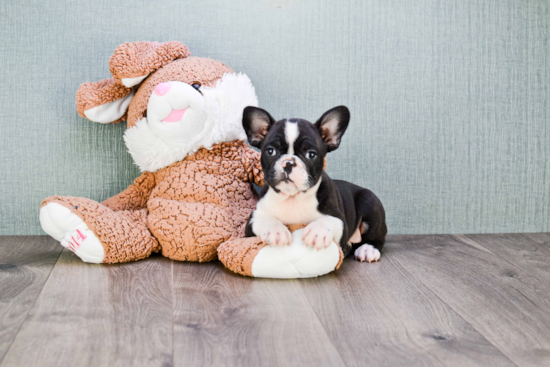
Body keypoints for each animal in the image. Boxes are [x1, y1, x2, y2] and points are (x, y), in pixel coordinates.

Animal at [244, 105, 390, 264]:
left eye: (311, 155)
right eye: (270, 151)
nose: (289, 163)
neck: (293, 197)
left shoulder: (340, 220)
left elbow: (328, 220)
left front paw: (318, 232)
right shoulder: (253, 219)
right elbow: (267, 219)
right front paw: (275, 230)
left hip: (369, 200)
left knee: (377, 237)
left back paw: (367, 249)